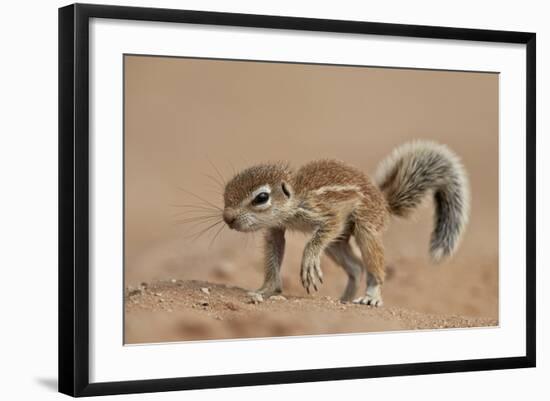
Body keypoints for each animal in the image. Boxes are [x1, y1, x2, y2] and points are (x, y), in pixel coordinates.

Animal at [221, 139, 470, 304]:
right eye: (226, 191)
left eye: (262, 197)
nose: (227, 218)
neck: (297, 195)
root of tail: (384, 203)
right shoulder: (276, 229)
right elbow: (274, 252)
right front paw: (265, 290)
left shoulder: (325, 213)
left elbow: (318, 236)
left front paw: (309, 261)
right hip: (336, 244)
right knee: (356, 267)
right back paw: (344, 299)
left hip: (365, 226)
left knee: (372, 265)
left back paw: (371, 296)